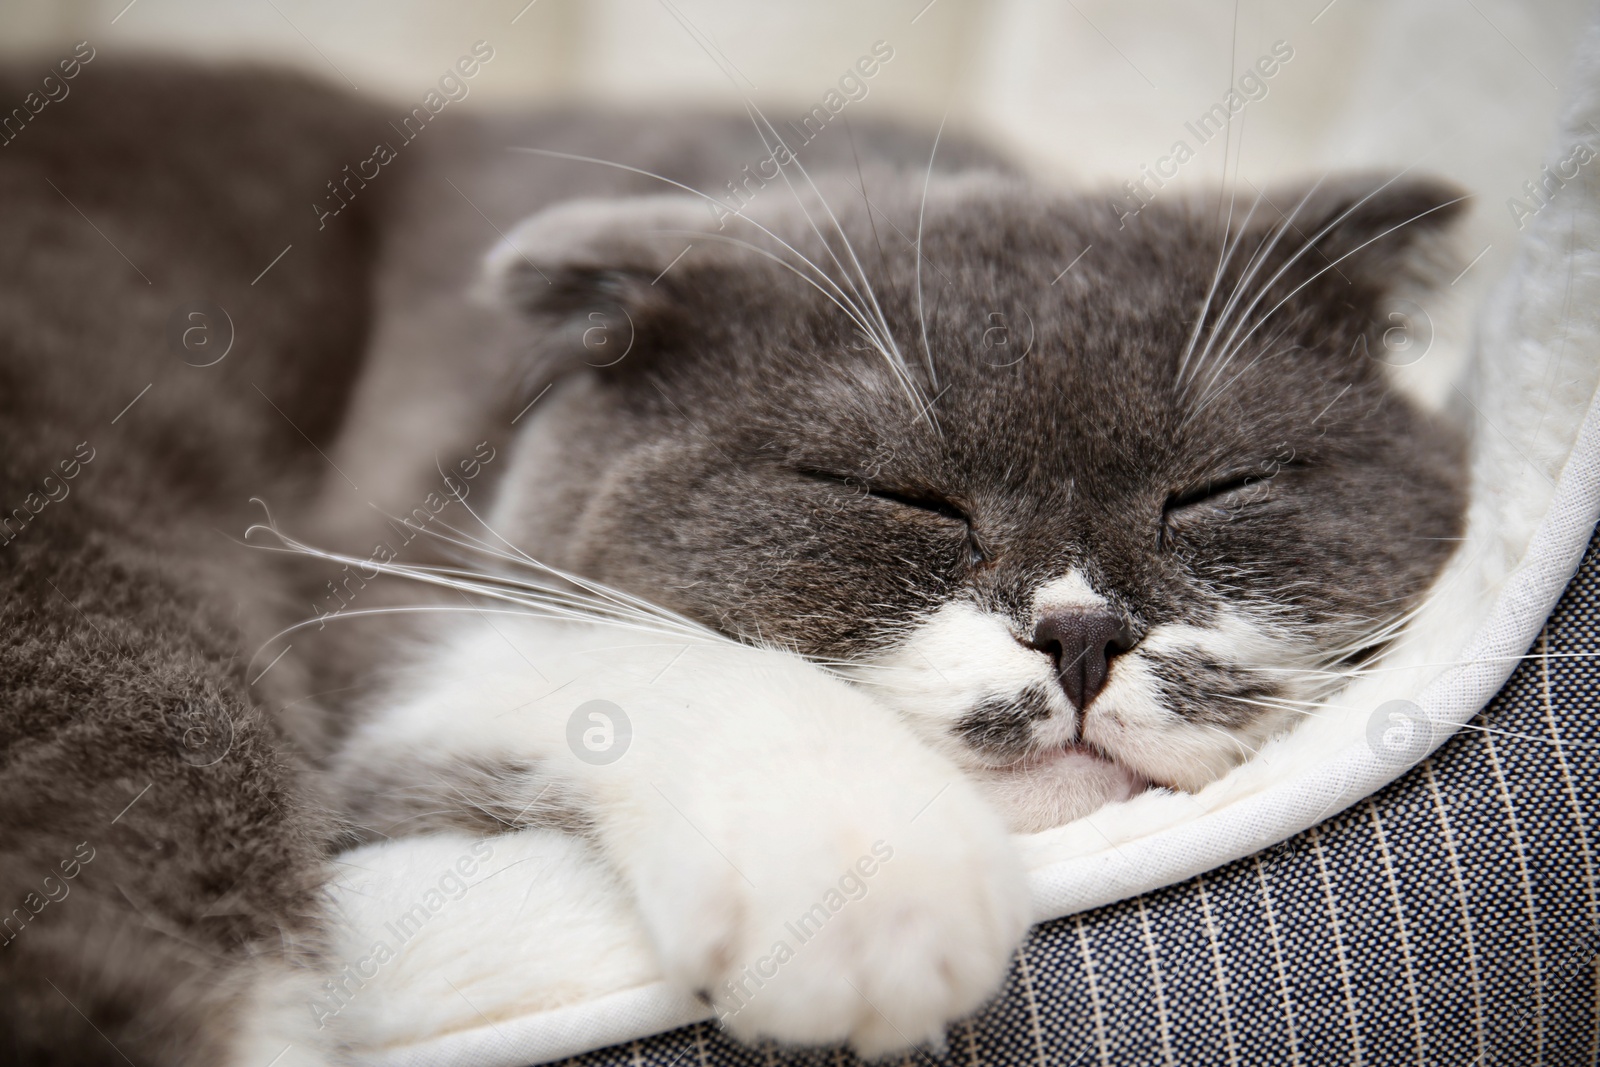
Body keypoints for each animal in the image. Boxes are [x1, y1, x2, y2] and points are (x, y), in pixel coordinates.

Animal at [0, 62, 1465, 1062]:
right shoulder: (379, 601)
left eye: (1217, 488)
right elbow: (600, 651)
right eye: (897, 494)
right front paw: (870, 885)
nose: (1083, 633)